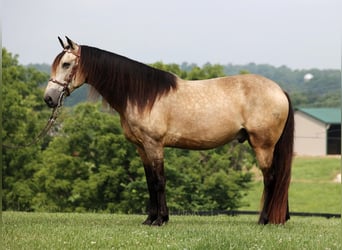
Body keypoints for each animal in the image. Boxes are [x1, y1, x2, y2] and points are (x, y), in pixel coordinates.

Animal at [43, 37, 294, 227]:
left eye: (66, 64)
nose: (49, 98)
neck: (141, 95)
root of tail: (279, 90)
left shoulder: (154, 145)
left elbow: (159, 181)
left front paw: (160, 220)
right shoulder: (141, 148)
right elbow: (149, 182)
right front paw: (150, 218)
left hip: (263, 145)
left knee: (270, 178)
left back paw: (263, 220)